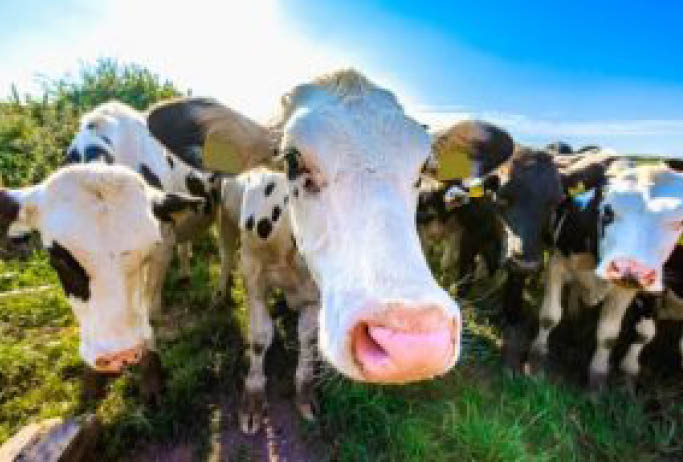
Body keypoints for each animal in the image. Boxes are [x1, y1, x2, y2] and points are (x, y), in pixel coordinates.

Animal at [0, 163, 204, 403]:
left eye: (147, 252)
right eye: (59, 259)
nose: (121, 355)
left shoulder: (163, 246)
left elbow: (147, 308)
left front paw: (151, 377)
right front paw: (92, 379)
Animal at [146, 69, 514, 385]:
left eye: (424, 167)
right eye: (292, 160)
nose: (413, 343)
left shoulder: (315, 296)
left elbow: (307, 339)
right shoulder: (253, 272)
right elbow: (260, 337)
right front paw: (254, 392)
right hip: (224, 218)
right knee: (224, 255)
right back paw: (220, 294)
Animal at [528, 164, 683, 388]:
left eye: (678, 223)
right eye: (607, 211)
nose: (630, 270)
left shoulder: (626, 290)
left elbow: (610, 335)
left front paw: (598, 376)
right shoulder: (557, 264)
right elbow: (550, 316)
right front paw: (537, 356)